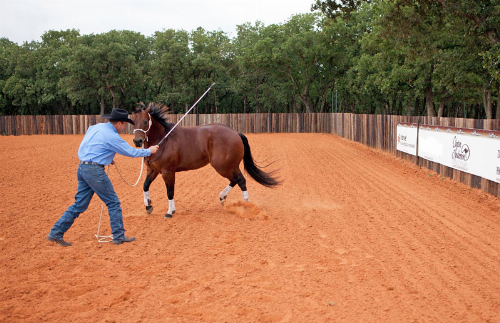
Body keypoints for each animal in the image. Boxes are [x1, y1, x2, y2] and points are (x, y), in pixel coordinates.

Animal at [131, 102, 280, 219]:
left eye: (145, 121)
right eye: (133, 121)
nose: (137, 141)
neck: (163, 140)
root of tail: (235, 133)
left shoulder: (168, 172)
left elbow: (170, 191)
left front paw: (169, 212)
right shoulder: (153, 170)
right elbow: (145, 185)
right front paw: (148, 206)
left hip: (223, 166)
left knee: (240, 180)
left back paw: (246, 205)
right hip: (230, 166)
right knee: (236, 180)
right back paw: (223, 197)